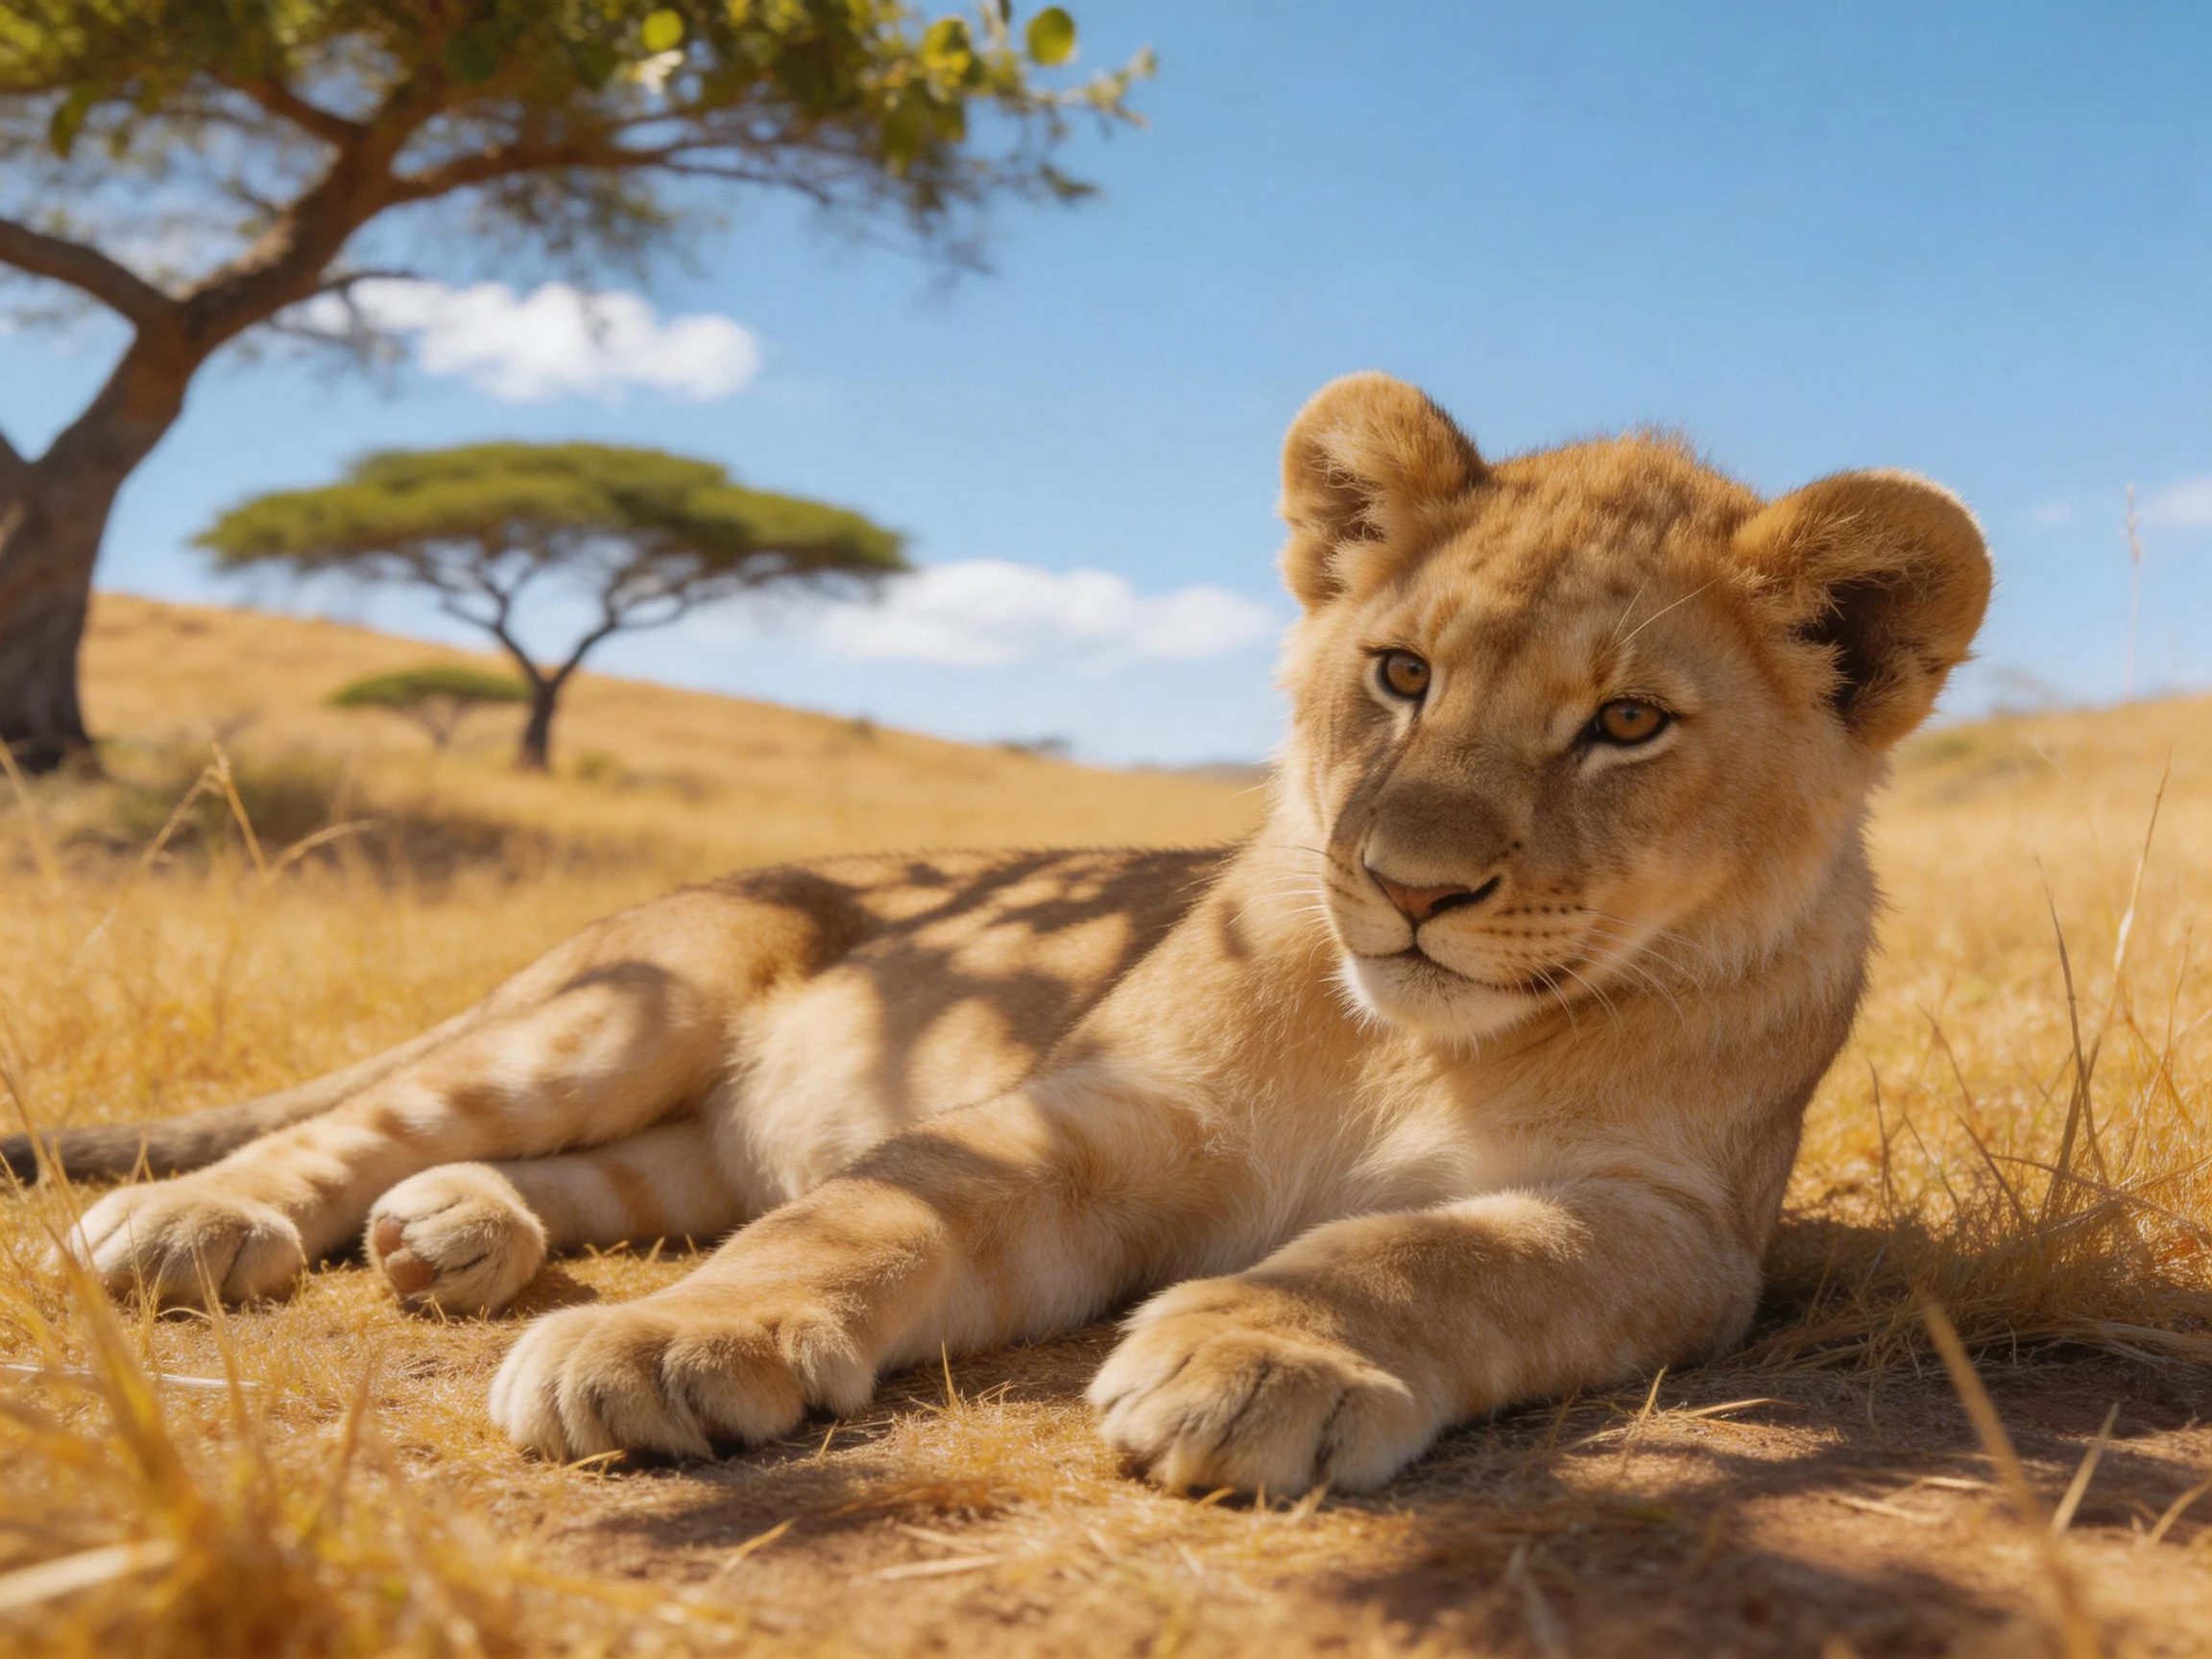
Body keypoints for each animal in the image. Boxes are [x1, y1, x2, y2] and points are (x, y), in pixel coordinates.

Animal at [4, 374, 1990, 1495]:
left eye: (1625, 724)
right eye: (1399, 674)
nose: (1409, 880)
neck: (1399, 1034)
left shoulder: (1667, 1226)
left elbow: (1429, 1251)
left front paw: (1263, 1353)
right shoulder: (1089, 1111)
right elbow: (861, 1214)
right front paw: (664, 1348)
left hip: (664, 1131)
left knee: (589, 1175)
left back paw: (456, 1237)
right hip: (622, 1005)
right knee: (366, 1120)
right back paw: (195, 1223)